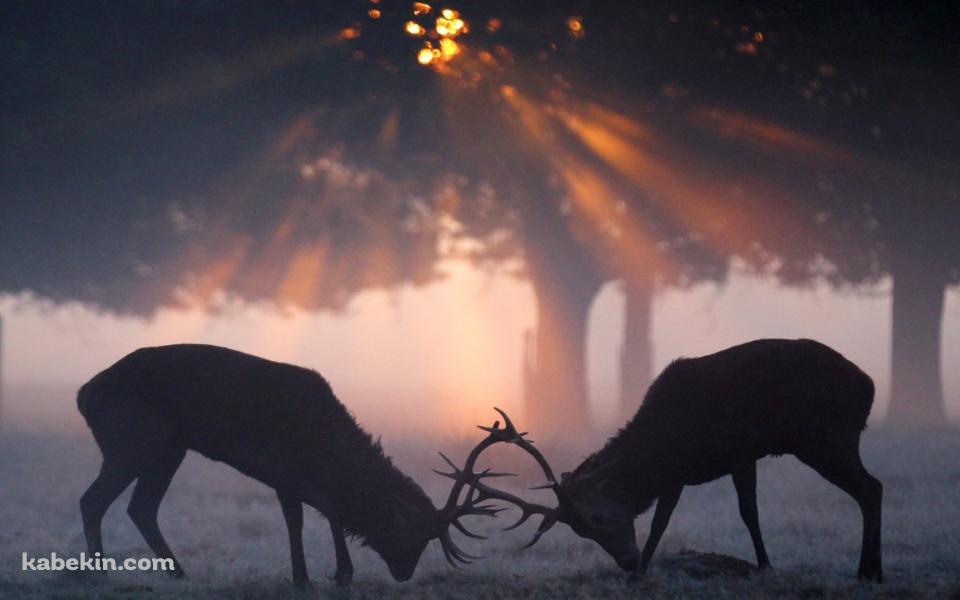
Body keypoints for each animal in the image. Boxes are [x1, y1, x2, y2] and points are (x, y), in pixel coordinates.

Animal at [77, 344, 501, 586]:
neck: (323, 448)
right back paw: (100, 574)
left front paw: (327, 574)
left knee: (140, 508)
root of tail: (83, 395)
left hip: (168, 449)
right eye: (412, 535)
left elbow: (319, 513)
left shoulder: (292, 477)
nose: (404, 574)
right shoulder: (281, 467)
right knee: (93, 500)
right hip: (131, 440)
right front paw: (319, 576)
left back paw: (178, 572)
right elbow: (309, 516)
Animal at [458, 339, 884, 582]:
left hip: (827, 440)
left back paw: (869, 572)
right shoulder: (681, 473)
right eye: (581, 533)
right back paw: (870, 570)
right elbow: (666, 520)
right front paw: (643, 571)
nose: (627, 562)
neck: (665, 444)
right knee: (872, 487)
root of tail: (869, 386)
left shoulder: (738, 453)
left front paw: (765, 566)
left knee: (871, 487)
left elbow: (745, 512)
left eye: (598, 517)